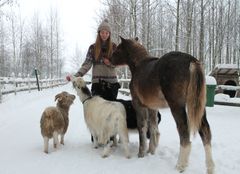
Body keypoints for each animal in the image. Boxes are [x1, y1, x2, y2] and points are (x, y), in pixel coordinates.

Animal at [109, 37, 215, 174]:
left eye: (117, 49)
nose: (109, 59)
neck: (139, 66)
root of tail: (191, 60)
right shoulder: (152, 107)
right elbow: (153, 127)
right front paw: (151, 151)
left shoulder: (139, 105)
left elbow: (142, 128)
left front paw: (141, 153)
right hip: (198, 106)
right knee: (205, 131)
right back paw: (210, 167)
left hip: (177, 106)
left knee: (183, 131)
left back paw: (181, 165)